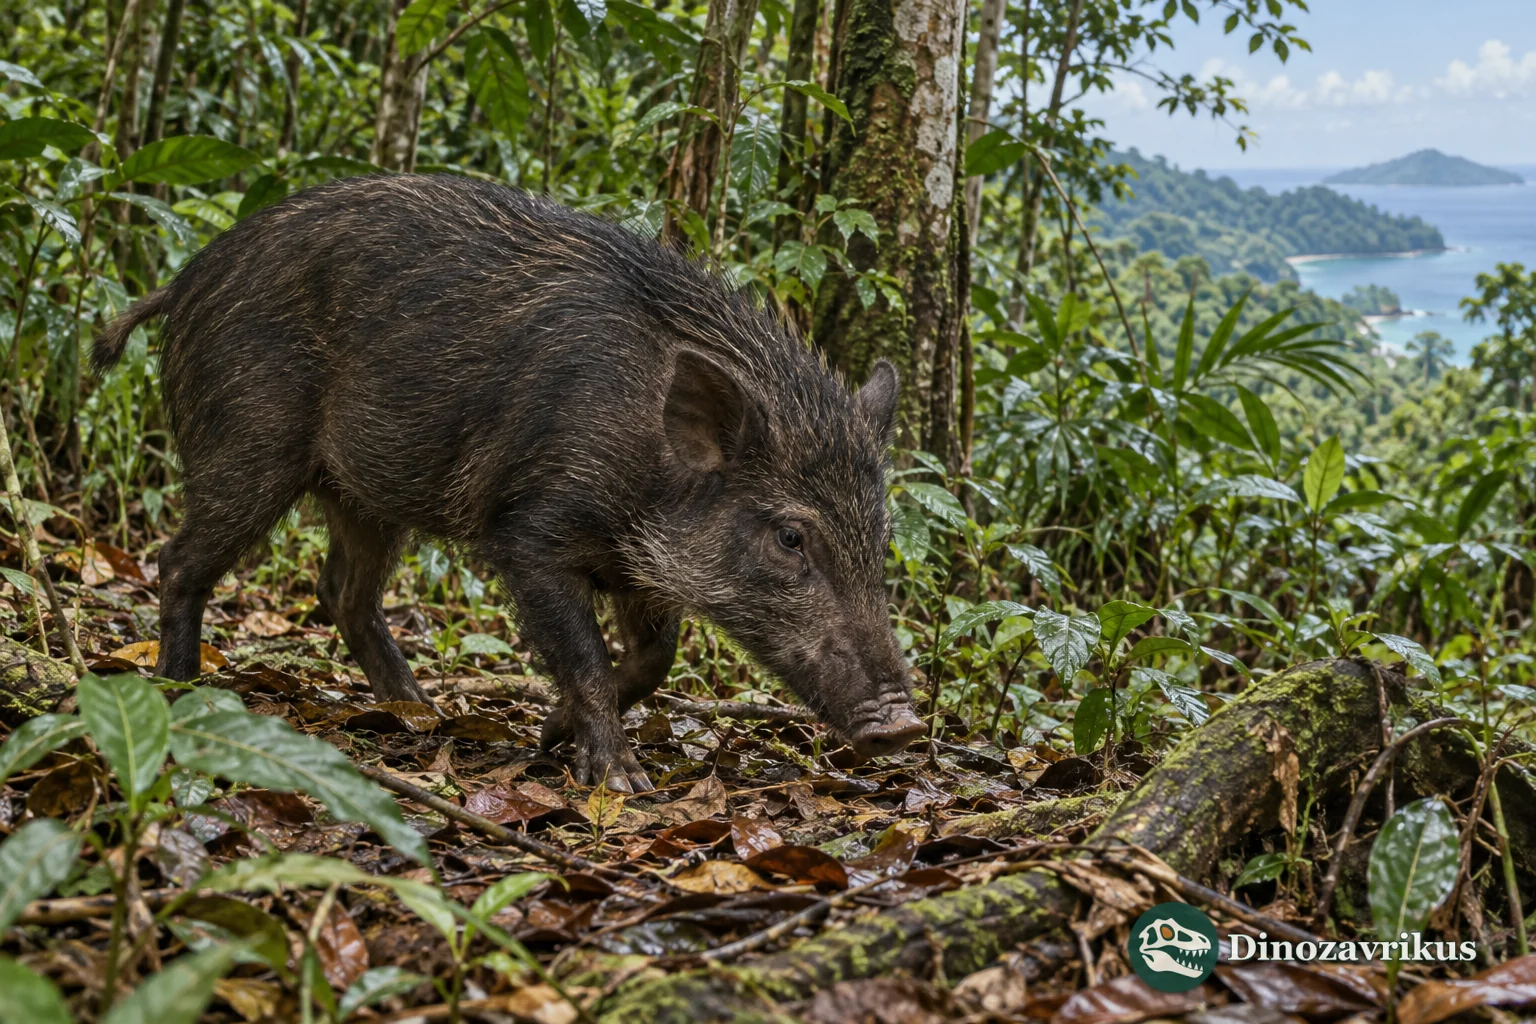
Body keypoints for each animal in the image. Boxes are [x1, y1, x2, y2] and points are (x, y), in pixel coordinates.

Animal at [95, 174, 925, 791]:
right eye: (790, 536)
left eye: (882, 534)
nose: (905, 724)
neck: (647, 455)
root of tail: (182, 283)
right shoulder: (531, 530)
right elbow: (586, 657)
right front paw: (619, 782)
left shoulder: (640, 566)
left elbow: (656, 658)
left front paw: (547, 736)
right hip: (248, 443)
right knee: (181, 561)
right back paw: (178, 694)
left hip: (366, 494)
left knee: (343, 593)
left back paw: (421, 713)